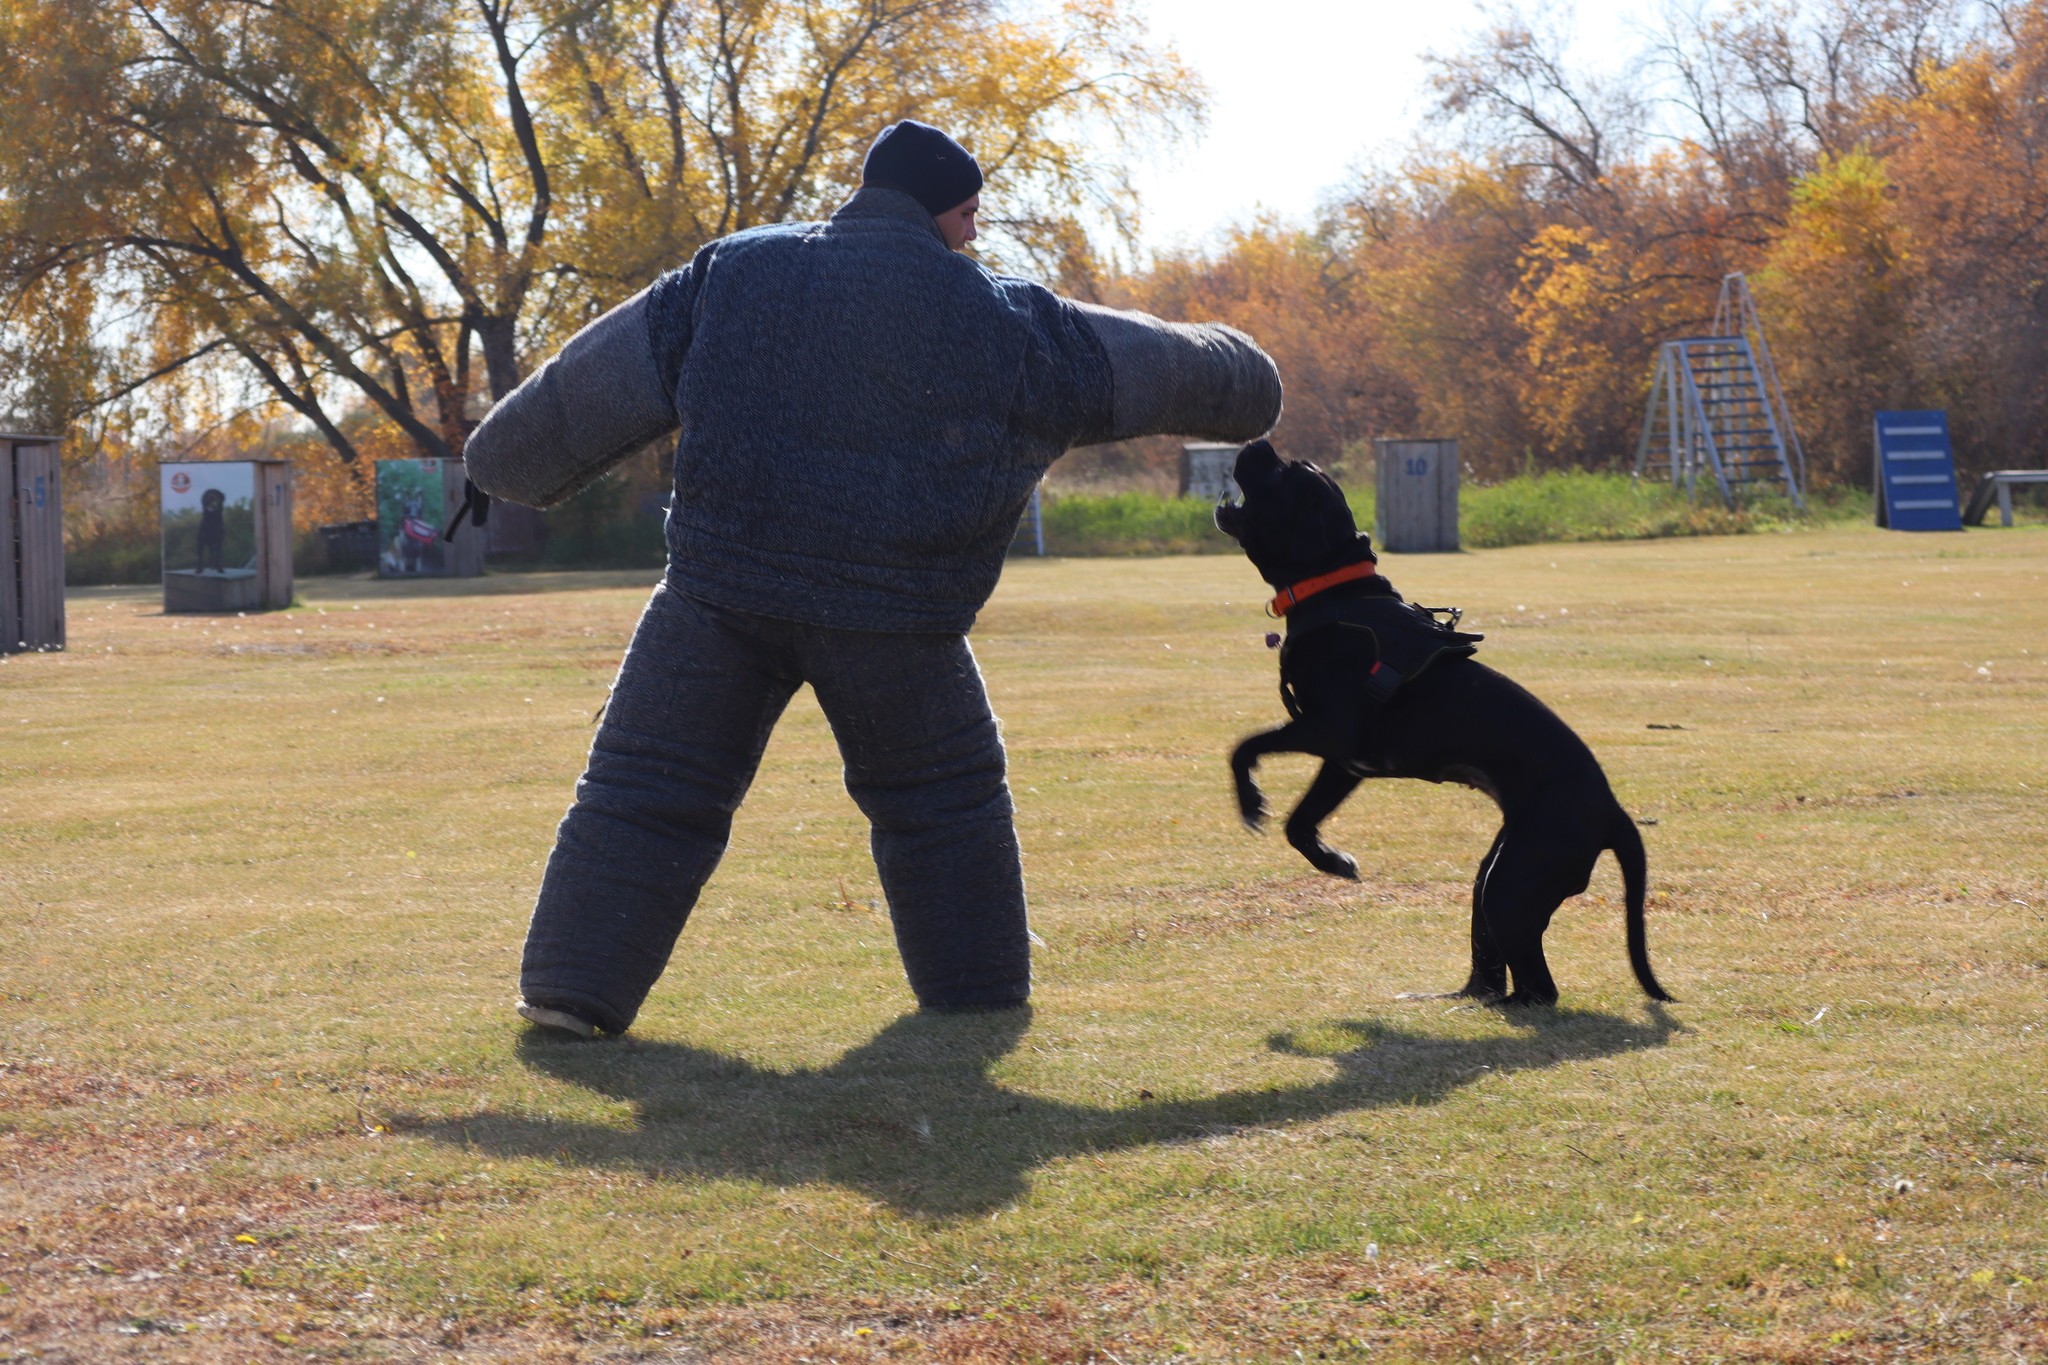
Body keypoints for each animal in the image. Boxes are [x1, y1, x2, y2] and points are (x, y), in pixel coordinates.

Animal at [1212, 437, 1662, 1002]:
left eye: (1282, 472)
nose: (1259, 441)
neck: (1334, 592)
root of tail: (1613, 812)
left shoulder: (1329, 732)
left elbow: (1243, 747)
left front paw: (1252, 803)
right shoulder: (1344, 763)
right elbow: (1298, 822)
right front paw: (1333, 861)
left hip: (1514, 884)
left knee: (1538, 987)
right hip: (1496, 874)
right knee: (1490, 970)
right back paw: (1453, 1001)